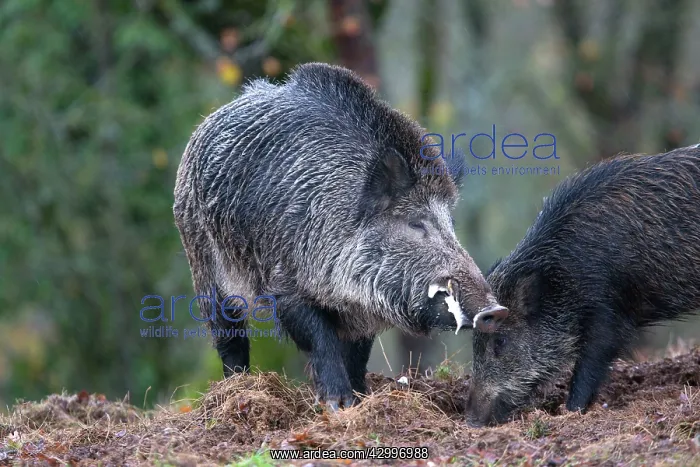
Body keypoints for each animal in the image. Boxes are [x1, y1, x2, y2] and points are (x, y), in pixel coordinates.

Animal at [173, 62, 505, 410]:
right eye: (416, 223)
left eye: (451, 222)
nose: (496, 310)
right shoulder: (285, 286)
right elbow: (322, 342)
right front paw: (338, 404)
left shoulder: (364, 309)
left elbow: (357, 355)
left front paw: (360, 398)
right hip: (203, 263)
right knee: (228, 335)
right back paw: (236, 387)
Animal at [466, 145, 700, 426]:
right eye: (473, 343)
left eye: (500, 342)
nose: (470, 420)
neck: (563, 278)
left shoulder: (608, 313)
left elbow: (590, 363)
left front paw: (570, 411)